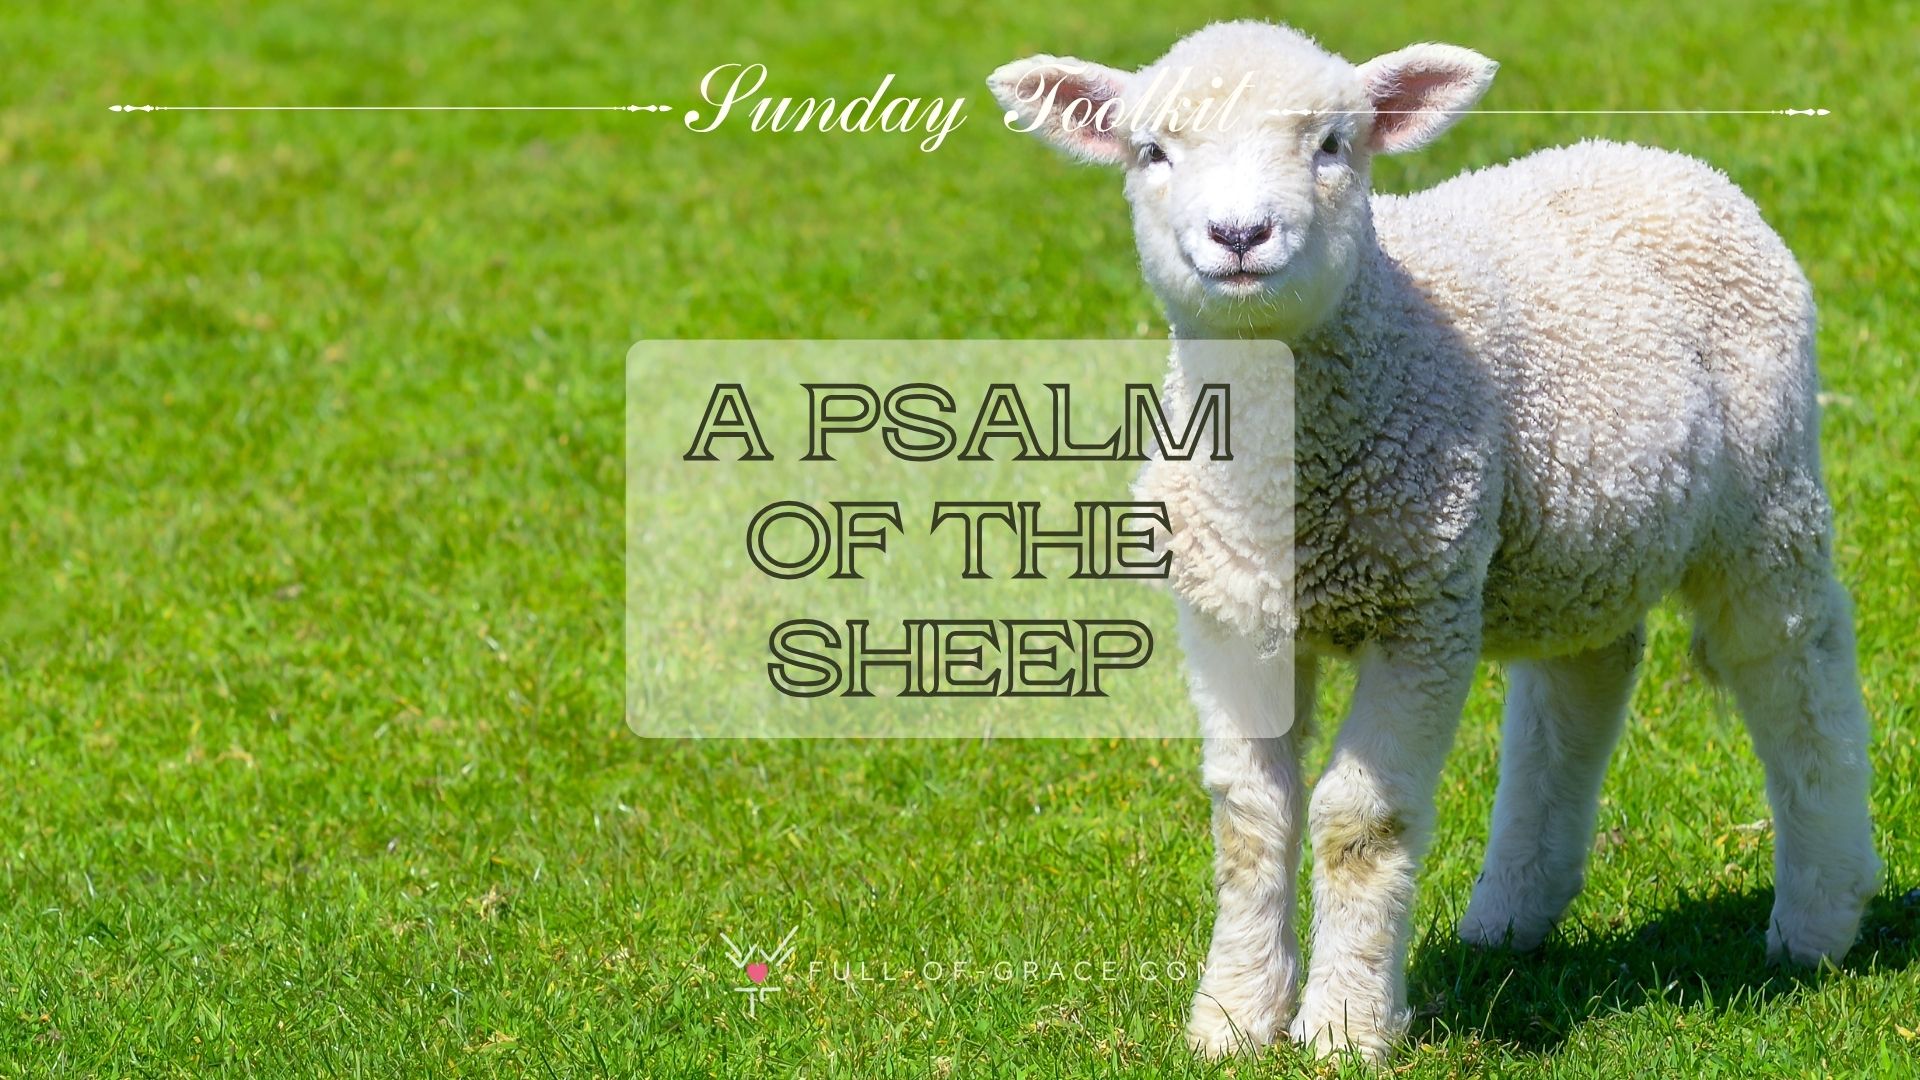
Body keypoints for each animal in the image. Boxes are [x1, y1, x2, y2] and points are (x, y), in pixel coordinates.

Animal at [988, 20, 1881, 1063]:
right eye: (1151, 153)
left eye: (1334, 144)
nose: (1240, 237)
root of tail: (1658, 157)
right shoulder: (1229, 613)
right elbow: (1248, 817)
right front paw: (1234, 1017)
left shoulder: (1421, 608)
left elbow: (1358, 821)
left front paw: (1343, 1027)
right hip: (1573, 532)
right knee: (1583, 678)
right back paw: (1514, 910)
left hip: (1764, 491)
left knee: (1793, 667)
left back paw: (1819, 915)